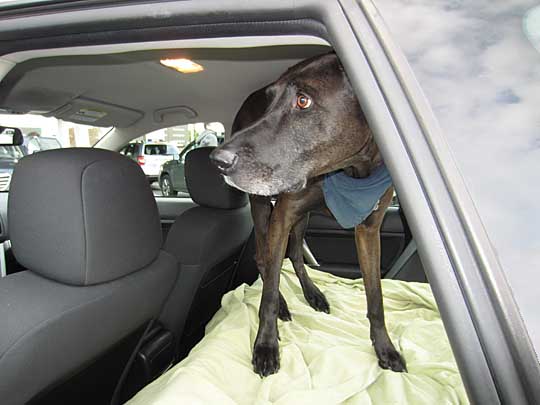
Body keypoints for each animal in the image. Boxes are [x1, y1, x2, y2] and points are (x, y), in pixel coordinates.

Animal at [211, 52, 404, 376]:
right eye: (269, 100)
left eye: (303, 101)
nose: (218, 160)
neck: (349, 171)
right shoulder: (282, 215)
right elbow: (269, 290)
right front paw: (266, 344)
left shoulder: (368, 229)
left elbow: (375, 296)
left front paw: (385, 347)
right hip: (262, 207)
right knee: (264, 259)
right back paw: (283, 305)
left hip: (303, 218)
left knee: (296, 256)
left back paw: (313, 293)